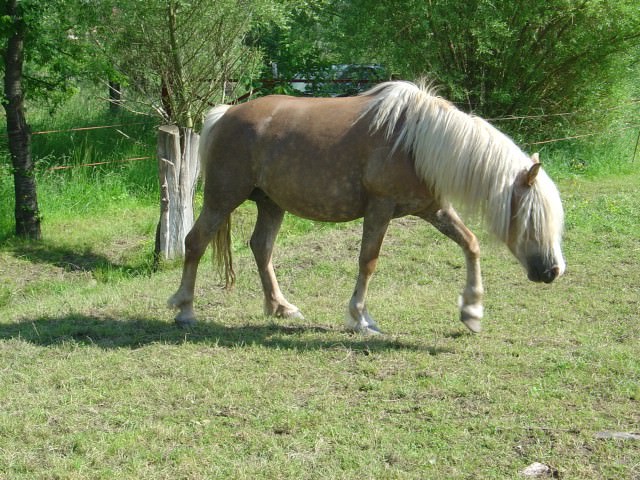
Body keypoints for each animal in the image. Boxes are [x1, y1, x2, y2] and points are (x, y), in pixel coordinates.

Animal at [166, 80, 564, 334]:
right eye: (531, 219)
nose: (552, 271)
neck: (416, 143)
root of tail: (224, 114)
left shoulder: (433, 209)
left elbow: (471, 244)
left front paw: (472, 311)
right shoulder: (380, 208)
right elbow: (368, 261)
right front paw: (361, 318)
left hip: (271, 204)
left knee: (261, 248)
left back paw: (281, 307)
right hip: (222, 198)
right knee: (195, 242)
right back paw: (185, 309)